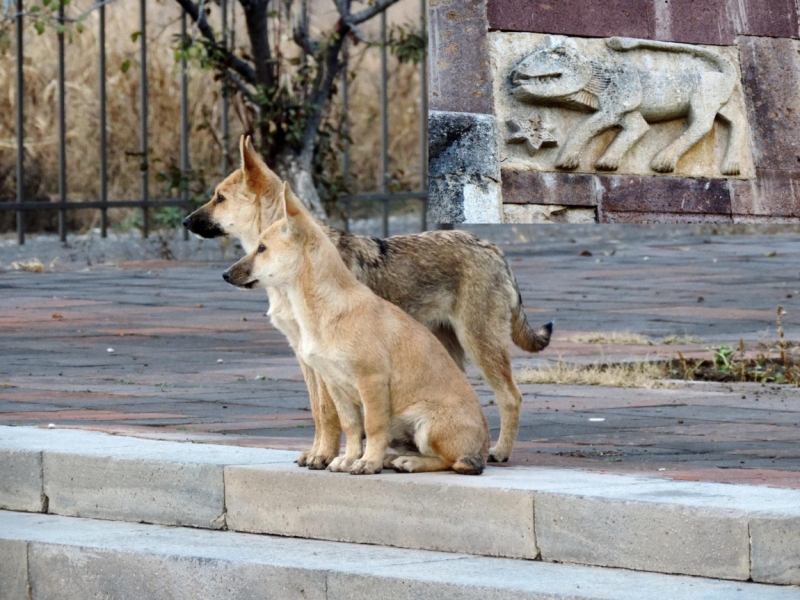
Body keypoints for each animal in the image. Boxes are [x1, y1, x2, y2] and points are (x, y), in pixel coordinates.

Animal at [222, 183, 490, 474]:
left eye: (262, 249)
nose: (225, 275)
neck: (325, 308)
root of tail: (485, 446)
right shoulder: (335, 386)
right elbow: (350, 426)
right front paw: (350, 459)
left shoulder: (371, 382)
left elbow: (372, 426)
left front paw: (368, 462)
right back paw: (392, 458)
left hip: (427, 423)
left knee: (447, 460)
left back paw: (407, 461)